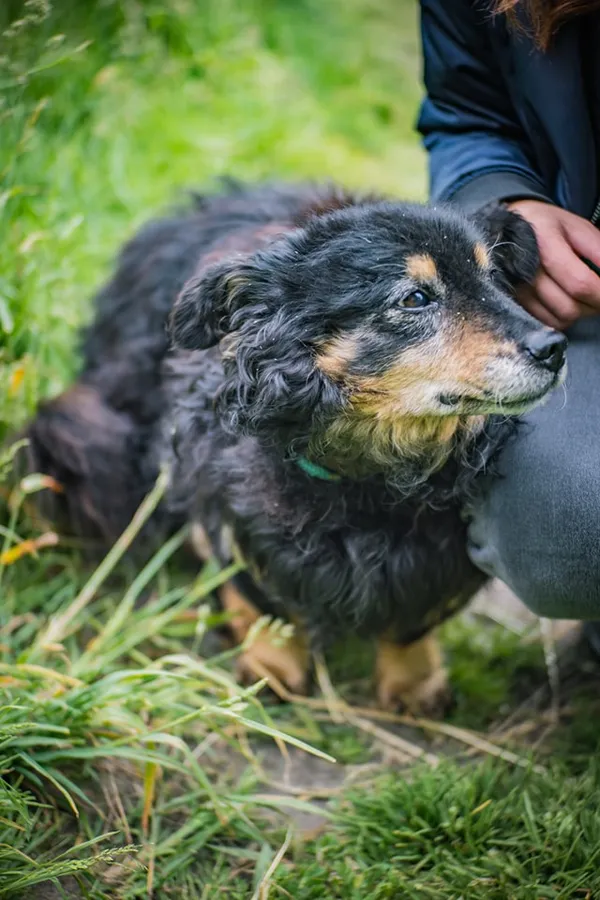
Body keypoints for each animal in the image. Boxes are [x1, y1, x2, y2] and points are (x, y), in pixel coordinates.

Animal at [23, 183, 568, 712]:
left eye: (494, 279)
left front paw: (414, 682)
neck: (368, 479)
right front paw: (271, 670)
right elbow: (259, 597)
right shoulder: (226, 503)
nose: (555, 348)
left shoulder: (439, 547)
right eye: (415, 299)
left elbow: (414, 618)